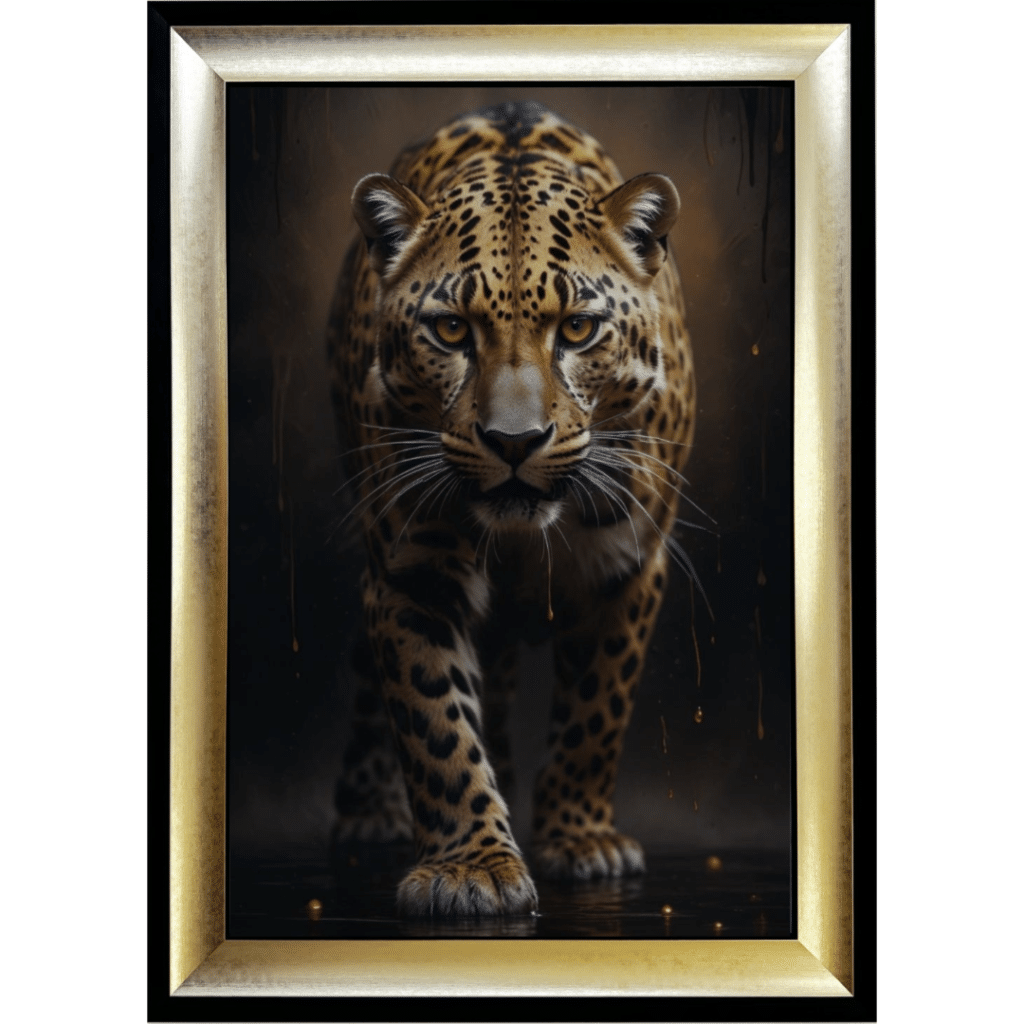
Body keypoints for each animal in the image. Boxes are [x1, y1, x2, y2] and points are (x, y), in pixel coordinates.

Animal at [325, 100, 697, 917]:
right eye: (451, 329)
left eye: (579, 328)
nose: (515, 442)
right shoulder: (411, 571)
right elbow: (434, 723)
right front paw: (471, 866)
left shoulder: (631, 563)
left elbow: (596, 709)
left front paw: (582, 841)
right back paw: (368, 811)